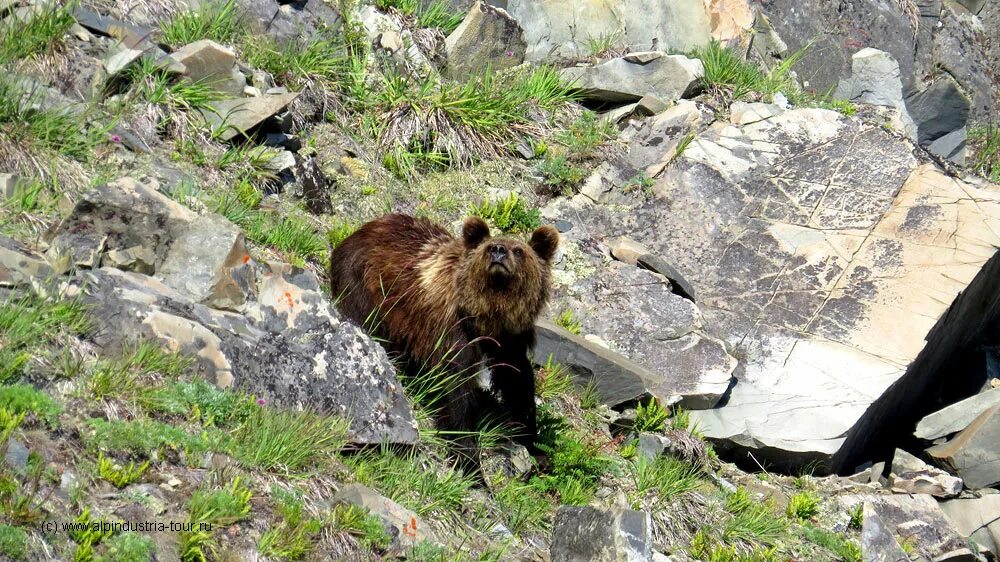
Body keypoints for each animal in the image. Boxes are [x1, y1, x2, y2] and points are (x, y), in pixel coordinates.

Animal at [330, 212, 560, 466]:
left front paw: (535, 446)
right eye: (488, 246)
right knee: (372, 326)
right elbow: (455, 387)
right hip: (363, 282)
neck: (488, 316)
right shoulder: (454, 330)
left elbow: (518, 381)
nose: (499, 250)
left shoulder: (511, 338)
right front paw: (469, 460)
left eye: (519, 250)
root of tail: (364, 228)